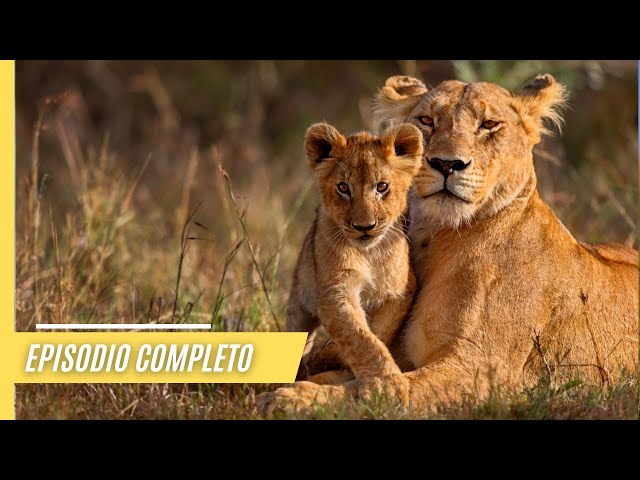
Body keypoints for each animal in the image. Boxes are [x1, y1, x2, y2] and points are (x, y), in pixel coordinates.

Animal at [284, 122, 423, 385]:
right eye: (343, 188)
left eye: (382, 187)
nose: (364, 227)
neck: (369, 253)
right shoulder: (336, 291)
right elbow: (360, 338)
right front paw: (388, 383)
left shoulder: (400, 291)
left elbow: (378, 332)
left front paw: (333, 358)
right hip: (300, 298)